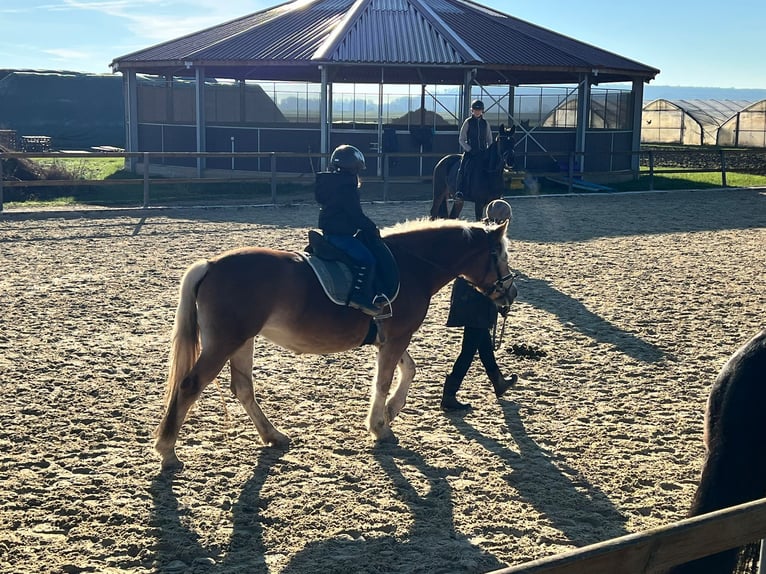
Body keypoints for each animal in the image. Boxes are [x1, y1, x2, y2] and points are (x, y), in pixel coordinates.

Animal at [154, 218, 516, 470]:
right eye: (500, 256)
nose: (510, 292)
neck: (412, 266)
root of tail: (212, 265)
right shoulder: (398, 336)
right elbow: (384, 381)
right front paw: (380, 426)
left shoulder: (389, 338)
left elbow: (409, 370)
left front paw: (390, 411)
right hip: (225, 342)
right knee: (190, 385)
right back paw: (168, 451)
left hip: (242, 341)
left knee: (243, 388)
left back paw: (273, 436)